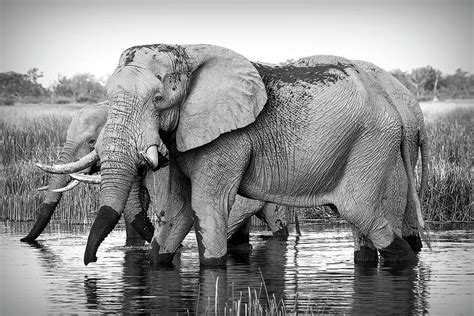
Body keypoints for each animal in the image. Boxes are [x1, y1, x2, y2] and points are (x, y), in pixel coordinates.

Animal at [39, 43, 426, 266]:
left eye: (158, 99)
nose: (90, 264)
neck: (187, 53)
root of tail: (399, 105)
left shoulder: (228, 139)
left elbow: (206, 206)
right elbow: (180, 212)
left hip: (372, 143)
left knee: (360, 212)